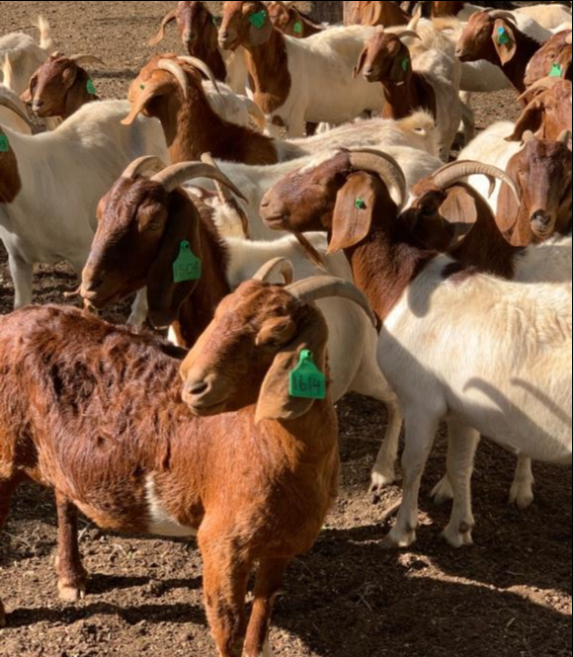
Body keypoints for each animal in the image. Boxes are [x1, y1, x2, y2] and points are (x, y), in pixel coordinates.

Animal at [0, 274, 374, 655]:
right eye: (220, 312)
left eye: (275, 336)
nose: (193, 386)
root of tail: (12, 320)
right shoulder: (222, 543)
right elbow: (228, 628)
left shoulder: (280, 547)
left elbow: (260, 622)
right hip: (5, 450)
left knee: (64, 495)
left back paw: (71, 577)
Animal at [219, 1, 385, 137]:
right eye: (224, 8)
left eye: (249, 11)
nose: (223, 36)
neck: (278, 66)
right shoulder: (268, 120)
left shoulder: (296, 117)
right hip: (364, 109)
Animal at [260, 149, 572, 548]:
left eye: (326, 178)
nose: (266, 204)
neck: (406, 281)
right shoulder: (464, 409)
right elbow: (459, 466)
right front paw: (458, 529)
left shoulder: (422, 401)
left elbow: (413, 464)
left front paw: (400, 532)